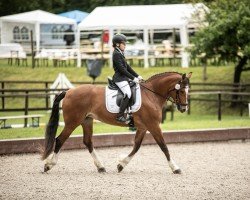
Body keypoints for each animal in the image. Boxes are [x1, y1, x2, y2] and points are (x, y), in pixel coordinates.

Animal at [42, 71, 192, 173]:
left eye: (187, 90)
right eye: (181, 91)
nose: (184, 108)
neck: (152, 95)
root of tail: (68, 92)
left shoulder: (143, 127)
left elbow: (136, 146)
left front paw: (121, 164)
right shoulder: (153, 126)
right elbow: (163, 146)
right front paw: (175, 168)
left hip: (87, 121)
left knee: (88, 141)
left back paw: (101, 167)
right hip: (72, 122)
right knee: (60, 139)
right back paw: (49, 165)